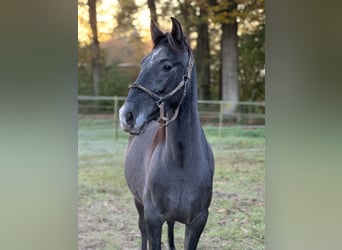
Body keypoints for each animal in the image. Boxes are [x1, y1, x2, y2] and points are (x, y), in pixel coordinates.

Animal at [118, 17, 214, 250]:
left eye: (167, 66)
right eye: (143, 63)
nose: (127, 115)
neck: (181, 164)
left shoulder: (198, 221)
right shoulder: (153, 219)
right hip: (139, 204)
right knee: (141, 229)